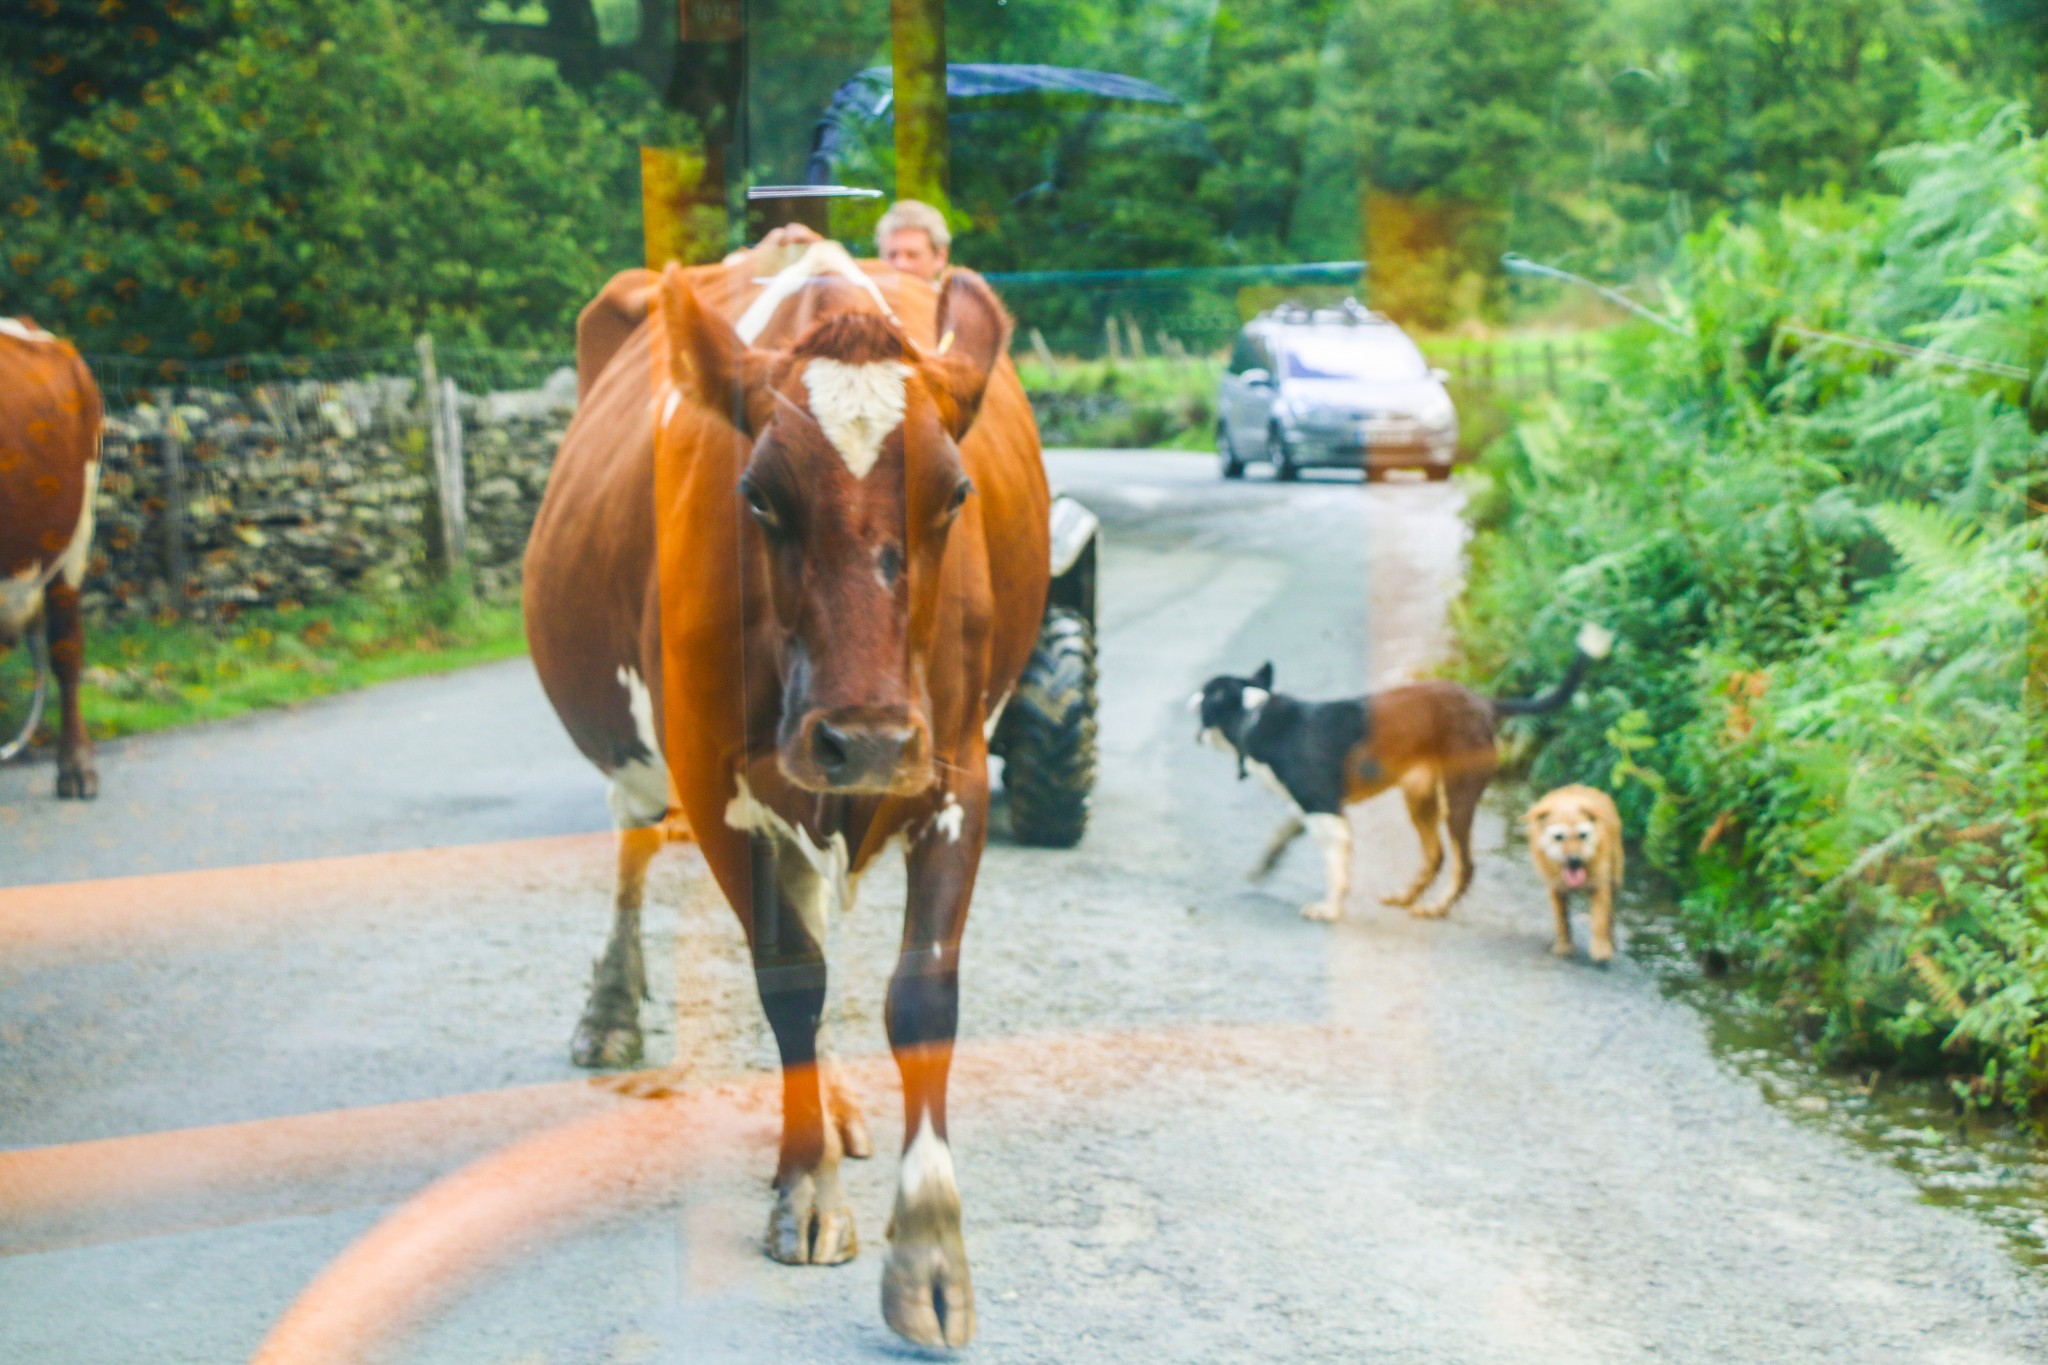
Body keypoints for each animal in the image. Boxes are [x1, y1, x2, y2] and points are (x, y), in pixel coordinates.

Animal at [520, 242, 1048, 1342]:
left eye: (954, 494)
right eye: (758, 495)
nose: (867, 737)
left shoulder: (956, 772)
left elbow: (922, 998)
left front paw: (929, 1251)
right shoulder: (714, 776)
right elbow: (791, 979)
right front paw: (806, 1188)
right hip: (647, 759)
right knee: (634, 845)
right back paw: (612, 1009)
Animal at [1531, 785, 1622, 965]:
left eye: (1582, 835)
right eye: (1559, 837)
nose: (1574, 860)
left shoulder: (1600, 884)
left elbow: (1600, 919)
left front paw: (1601, 947)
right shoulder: (1556, 888)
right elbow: (1562, 918)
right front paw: (1564, 945)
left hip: (1616, 876)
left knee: (1611, 913)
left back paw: (1611, 939)